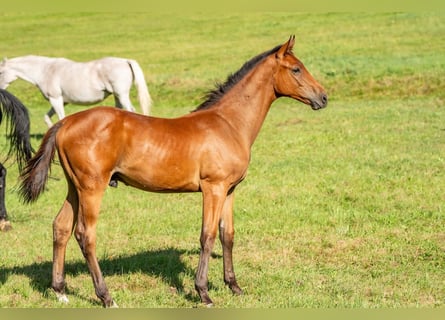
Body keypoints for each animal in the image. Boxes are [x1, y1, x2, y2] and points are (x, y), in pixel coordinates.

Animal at [0, 55, 152, 126]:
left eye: (1, 72)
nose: (0, 90)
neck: (46, 71)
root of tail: (125, 61)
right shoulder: (60, 101)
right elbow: (47, 118)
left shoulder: (56, 99)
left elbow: (61, 118)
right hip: (117, 96)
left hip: (122, 94)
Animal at [19, 35, 326, 308]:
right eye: (296, 69)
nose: (323, 97)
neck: (229, 123)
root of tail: (66, 122)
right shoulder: (213, 188)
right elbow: (207, 236)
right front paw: (203, 293)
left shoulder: (229, 190)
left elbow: (227, 235)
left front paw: (234, 286)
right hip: (92, 187)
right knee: (85, 234)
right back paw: (106, 297)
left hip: (75, 187)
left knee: (61, 227)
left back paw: (60, 291)